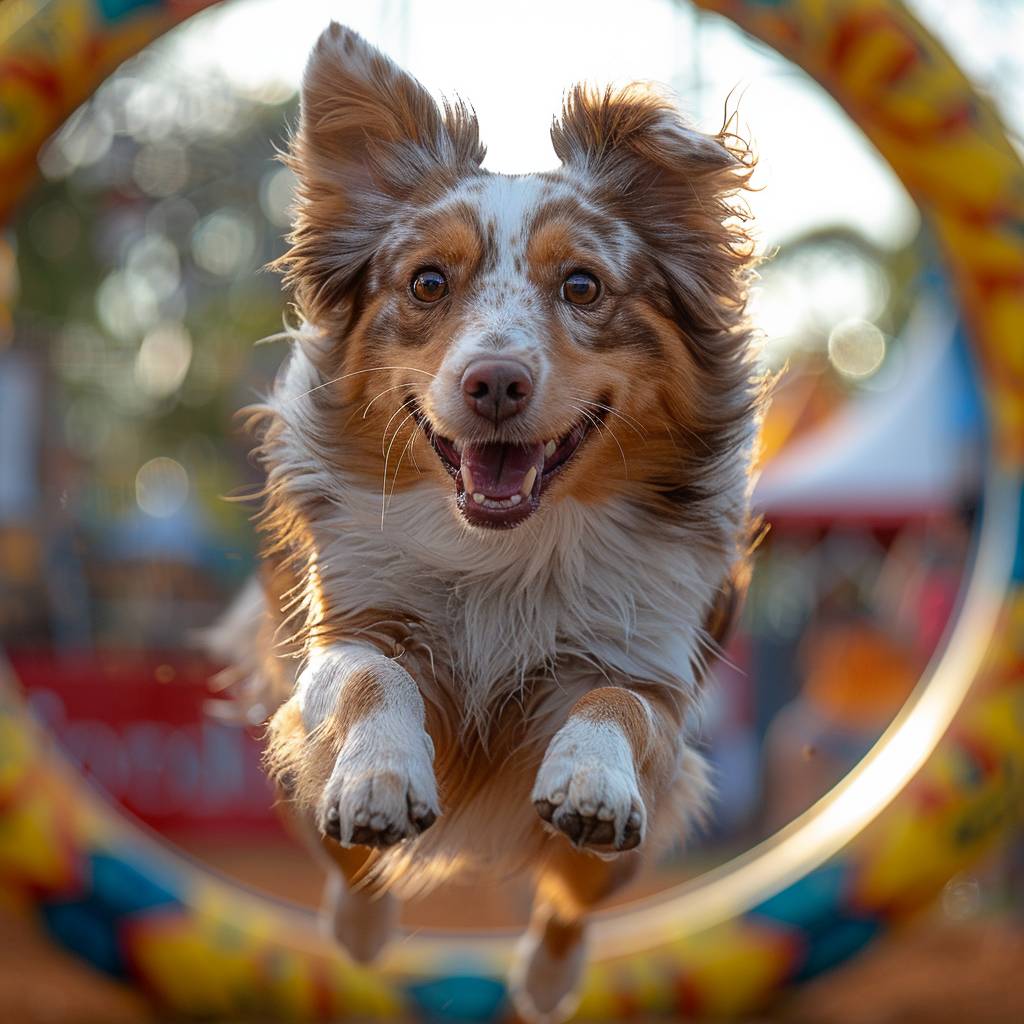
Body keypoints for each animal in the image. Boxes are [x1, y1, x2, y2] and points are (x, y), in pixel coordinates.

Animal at [228, 24, 765, 1024]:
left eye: (584, 286)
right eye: (427, 282)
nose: (495, 383)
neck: (504, 554)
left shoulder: (651, 678)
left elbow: (615, 706)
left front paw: (590, 777)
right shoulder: (347, 632)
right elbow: (373, 680)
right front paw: (381, 778)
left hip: (623, 854)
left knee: (568, 906)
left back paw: (547, 980)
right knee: (346, 864)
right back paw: (362, 926)